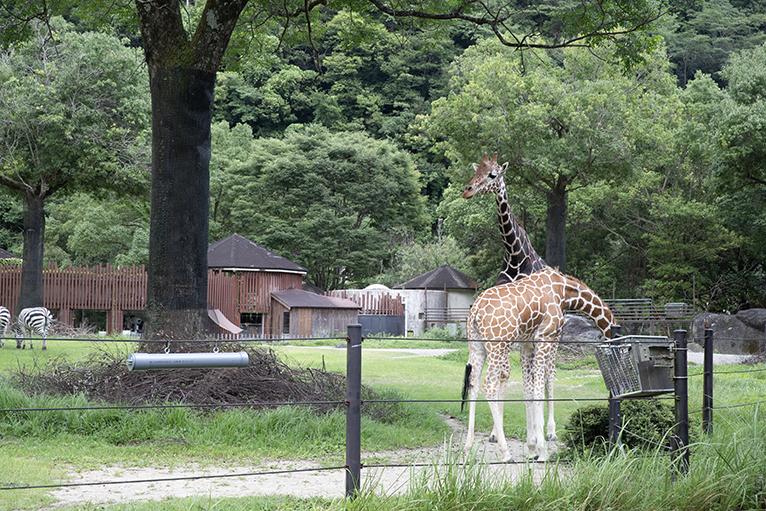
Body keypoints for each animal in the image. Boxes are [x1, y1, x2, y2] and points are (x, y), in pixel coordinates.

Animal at [462, 268, 616, 464]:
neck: (565, 292)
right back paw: (505, 453)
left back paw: (468, 451)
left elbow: (528, 390)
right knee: (489, 386)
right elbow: (541, 387)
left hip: (476, 344)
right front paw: (542, 448)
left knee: (473, 384)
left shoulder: (528, 343)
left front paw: (532, 447)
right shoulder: (546, 337)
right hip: (499, 344)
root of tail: (475, 311)